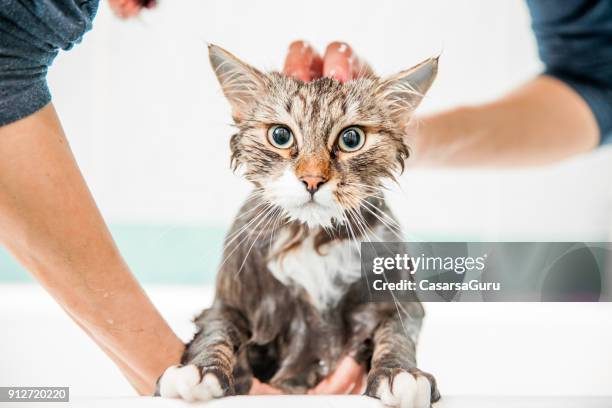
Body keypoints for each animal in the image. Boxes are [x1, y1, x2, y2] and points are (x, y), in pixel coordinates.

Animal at [158, 44, 440, 408]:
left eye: (351, 139)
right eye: (280, 135)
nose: (312, 179)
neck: (311, 237)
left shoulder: (396, 301)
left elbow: (396, 336)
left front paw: (400, 373)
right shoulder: (229, 304)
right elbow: (216, 333)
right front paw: (200, 370)